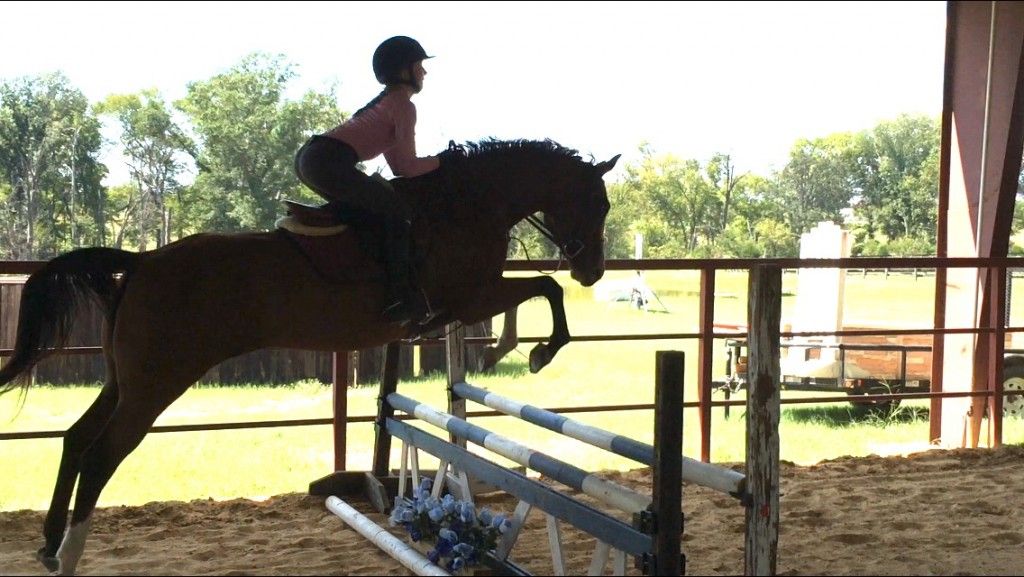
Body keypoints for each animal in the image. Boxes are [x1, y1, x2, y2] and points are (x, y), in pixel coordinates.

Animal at [0, 136, 618, 573]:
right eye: (598, 202)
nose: (593, 271)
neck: (467, 205)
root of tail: (143, 262)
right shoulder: (471, 297)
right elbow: (545, 288)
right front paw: (537, 352)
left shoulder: (468, 301)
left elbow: (538, 290)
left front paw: (525, 349)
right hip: (155, 385)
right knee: (100, 455)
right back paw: (71, 555)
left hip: (125, 381)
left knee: (76, 438)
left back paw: (50, 545)